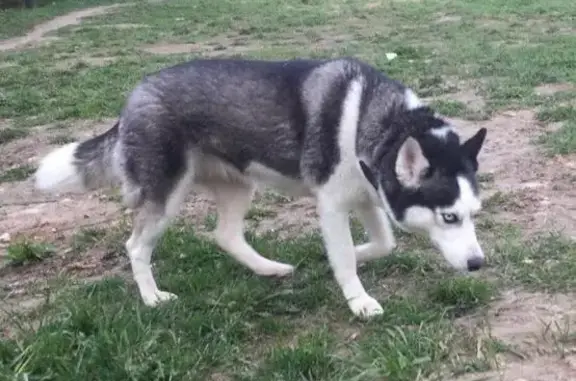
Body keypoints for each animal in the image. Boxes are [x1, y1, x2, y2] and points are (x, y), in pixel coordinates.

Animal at [33, 56, 486, 318]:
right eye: (449, 217)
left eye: (474, 215)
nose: (478, 264)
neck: (380, 121)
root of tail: (134, 96)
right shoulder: (333, 204)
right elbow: (344, 257)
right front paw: (358, 298)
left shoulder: (367, 195)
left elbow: (383, 243)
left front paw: (350, 256)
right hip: (166, 197)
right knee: (136, 247)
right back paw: (152, 298)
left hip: (239, 187)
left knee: (225, 235)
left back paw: (269, 268)